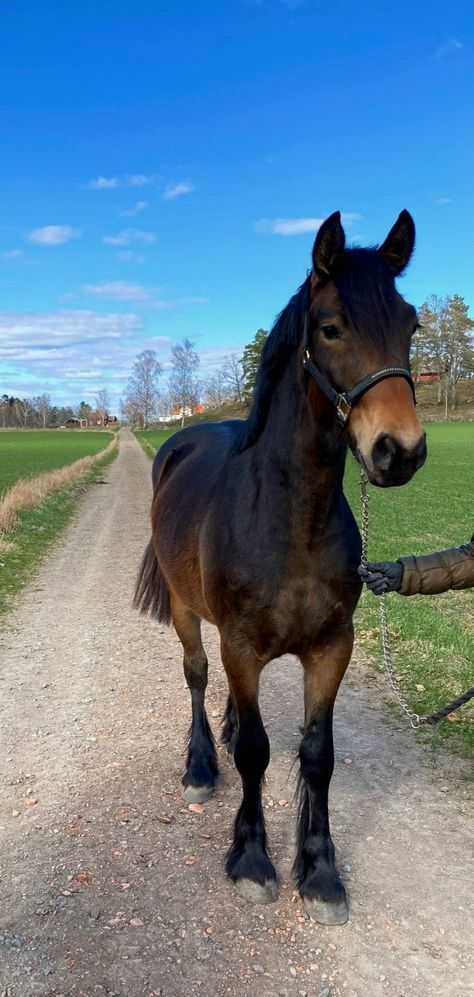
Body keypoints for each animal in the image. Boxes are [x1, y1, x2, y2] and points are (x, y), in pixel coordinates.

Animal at [133, 212, 426, 924]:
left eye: (410, 325)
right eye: (331, 327)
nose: (399, 451)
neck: (291, 520)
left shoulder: (331, 648)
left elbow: (317, 756)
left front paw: (319, 872)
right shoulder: (242, 646)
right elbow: (256, 753)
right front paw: (251, 859)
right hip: (186, 613)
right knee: (197, 676)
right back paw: (200, 766)